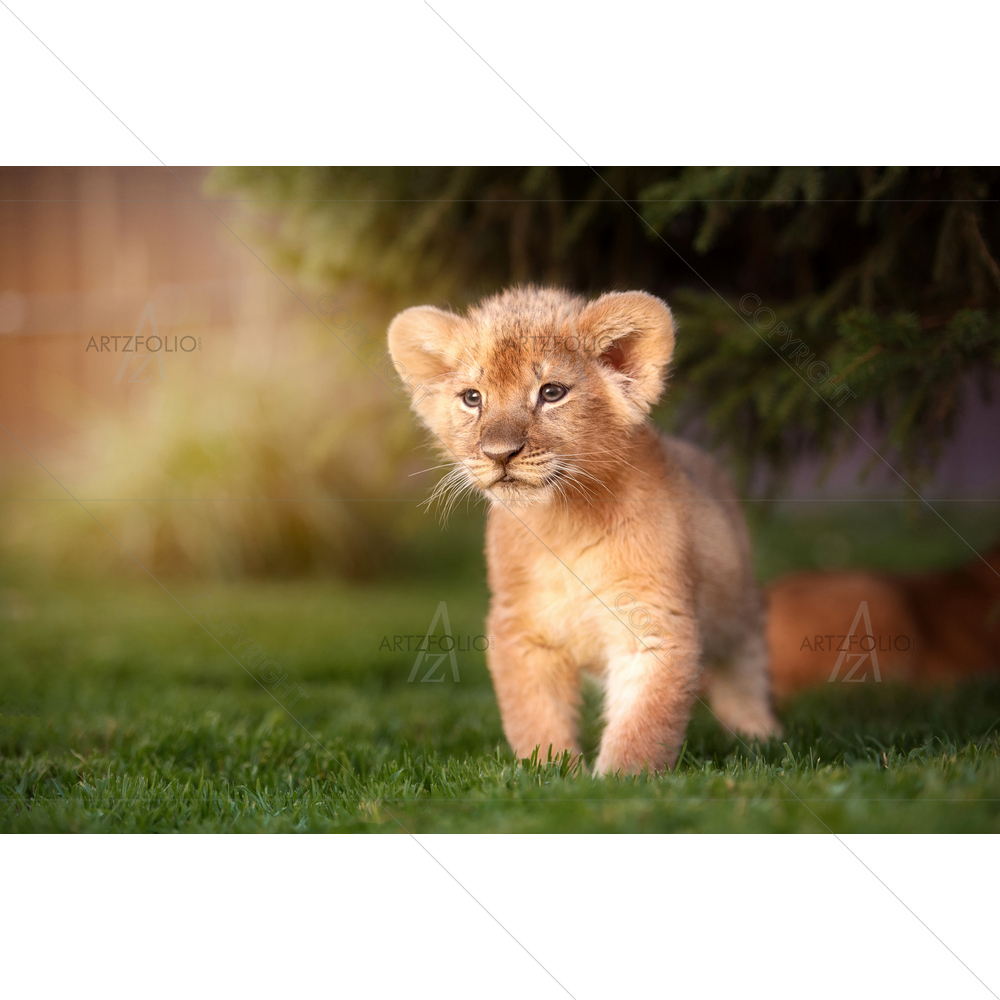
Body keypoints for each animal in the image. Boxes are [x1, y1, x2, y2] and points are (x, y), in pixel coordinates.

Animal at [388, 286, 780, 774]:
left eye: (551, 392)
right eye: (472, 397)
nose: (499, 453)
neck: (562, 525)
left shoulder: (652, 622)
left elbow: (641, 727)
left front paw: (616, 781)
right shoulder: (521, 628)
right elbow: (535, 716)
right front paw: (551, 773)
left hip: (738, 606)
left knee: (746, 668)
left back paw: (761, 737)